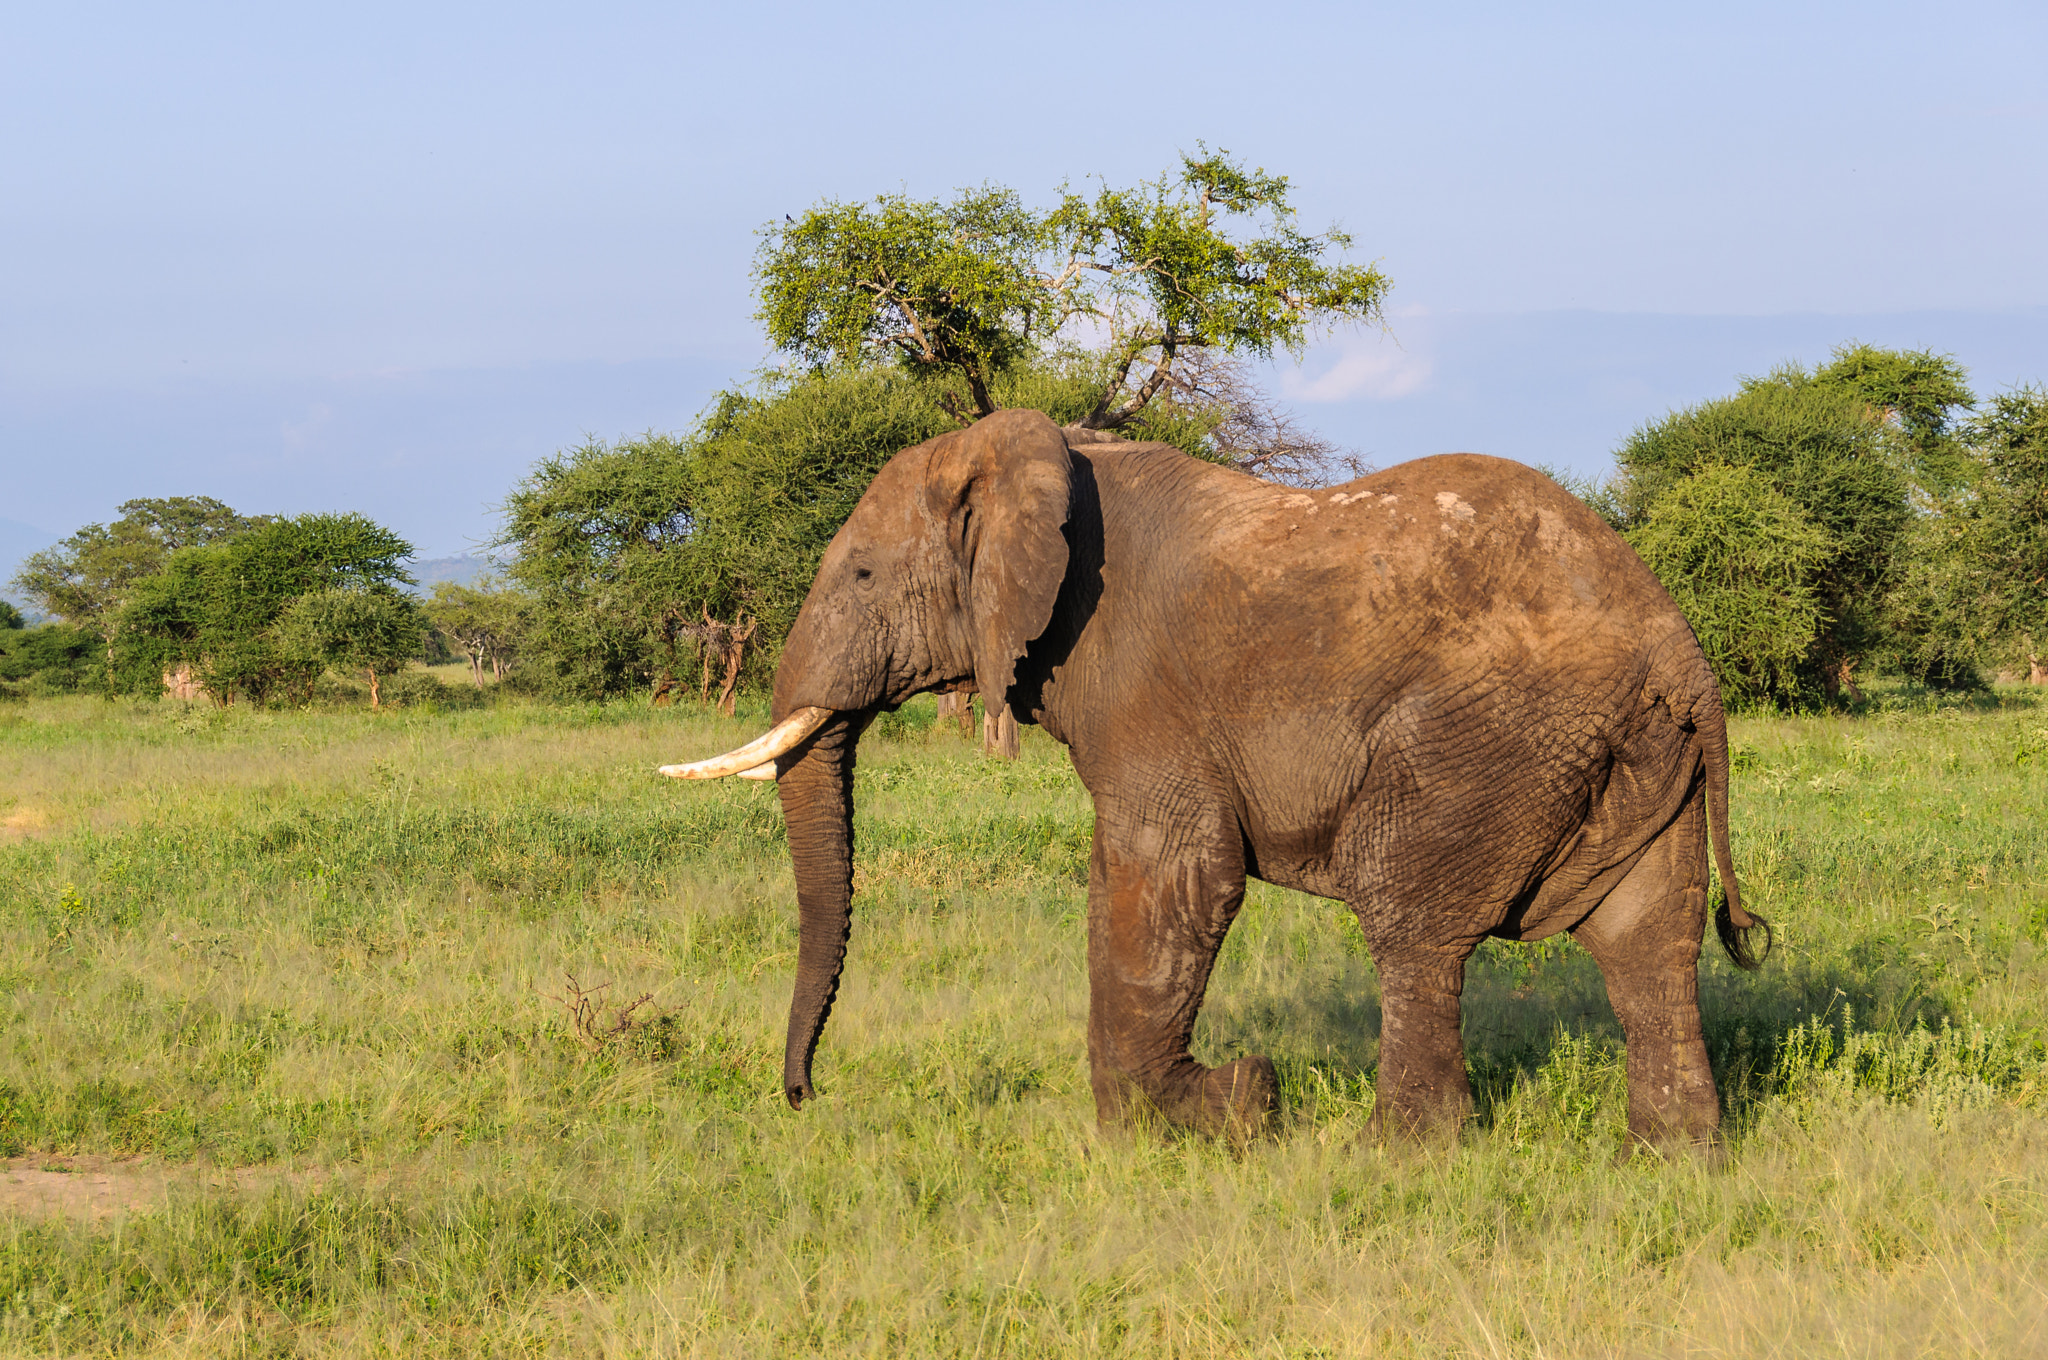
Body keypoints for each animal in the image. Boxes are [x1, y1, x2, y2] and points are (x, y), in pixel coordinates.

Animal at [663, 405, 1769, 1146]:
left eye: (859, 576)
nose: (806, 1097)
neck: (1042, 456)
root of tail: (1678, 649)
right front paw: (1188, 1115)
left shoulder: (1138, 682)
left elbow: (1176, 879)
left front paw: (1226, 1107)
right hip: (1635, 755)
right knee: (1647, 940)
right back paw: (1672, 1159)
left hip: (1488, 736)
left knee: (1410, 919)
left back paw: (1396, 1156)